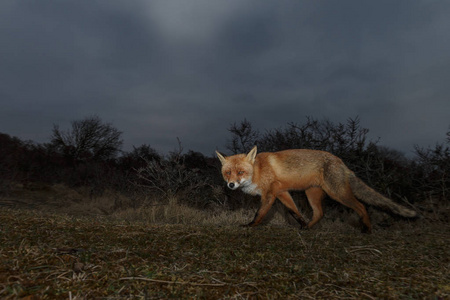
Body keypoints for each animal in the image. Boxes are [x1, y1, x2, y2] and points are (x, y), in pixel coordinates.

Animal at [216, 146, 416, 233]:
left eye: (240, 172)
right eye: (227, 173)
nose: (231, 185)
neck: (257, 171)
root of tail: (341, 162)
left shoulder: (270, 194)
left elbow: (260, 213)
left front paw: (250, 226)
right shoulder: (282, 193)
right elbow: (295, 211)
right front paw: (303, 224)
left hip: (338, 193)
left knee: (361, 206)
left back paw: (367, 228)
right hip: (311, 193)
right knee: (319, 213)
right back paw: (309, 228)